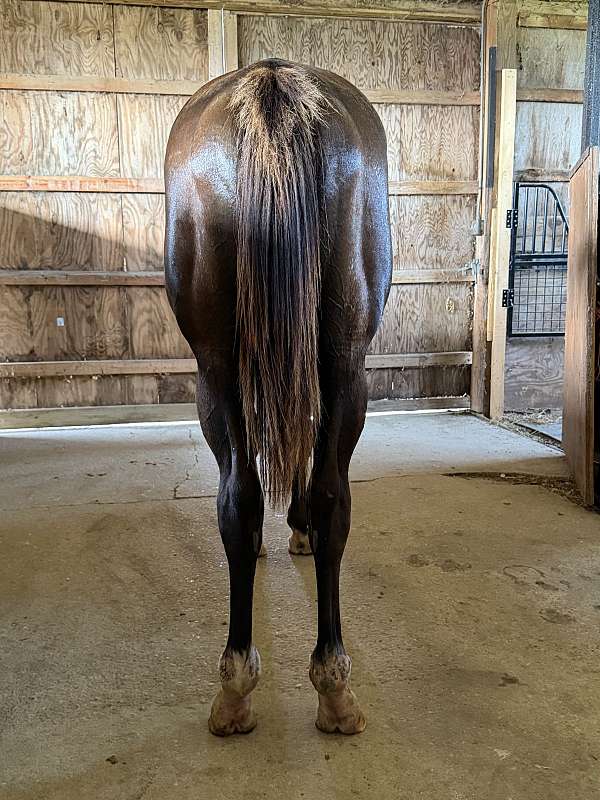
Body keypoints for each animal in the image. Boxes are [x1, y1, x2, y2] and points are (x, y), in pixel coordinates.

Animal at [164, 59, 391, 736]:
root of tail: (273, 86)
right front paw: (297, 525)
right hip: (340, 368)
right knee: (328, 497)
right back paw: (328, 685)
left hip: (218, 373)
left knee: (239, 497)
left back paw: (241, 682)